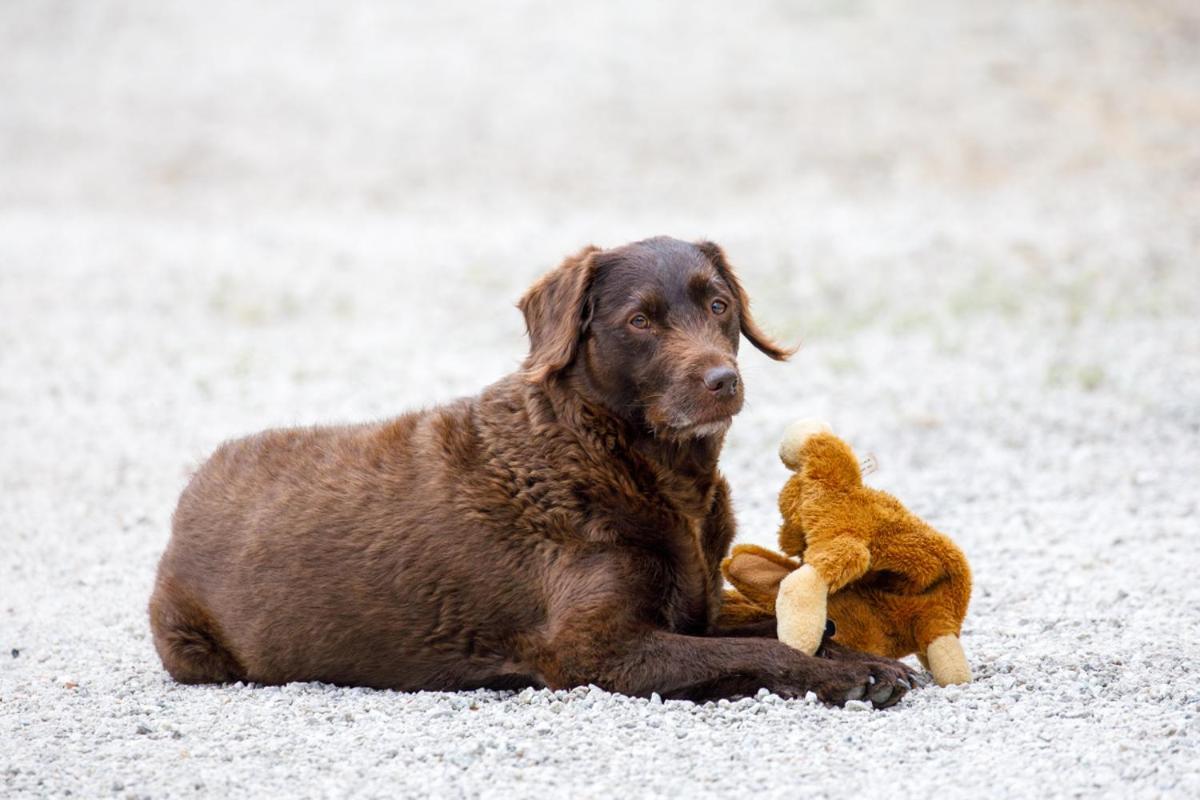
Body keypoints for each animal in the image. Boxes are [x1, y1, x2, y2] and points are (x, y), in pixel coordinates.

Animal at [150, 236, 916, 705]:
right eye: (640, 321)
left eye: (719, 305)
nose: (723, 381)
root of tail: (189, 489)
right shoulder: (596, 650)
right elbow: (766, 654)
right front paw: (855, 675)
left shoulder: (692, 613)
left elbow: (784, 630)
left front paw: (864, 657)